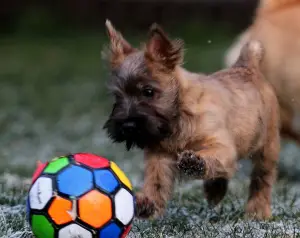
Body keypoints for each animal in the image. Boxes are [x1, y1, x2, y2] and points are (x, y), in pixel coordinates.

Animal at [102, 19, 280, 220]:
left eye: (148, 91)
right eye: (117, 97)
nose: (126, 126)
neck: (177, 120)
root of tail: (246, 66)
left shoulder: (221, 145)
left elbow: (213, 157)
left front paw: (195, 163)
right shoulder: (159, 157)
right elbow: (156, 182)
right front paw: (148, 202)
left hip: (267, 148)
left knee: (261, 179)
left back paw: (258, 210)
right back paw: (215, 190)